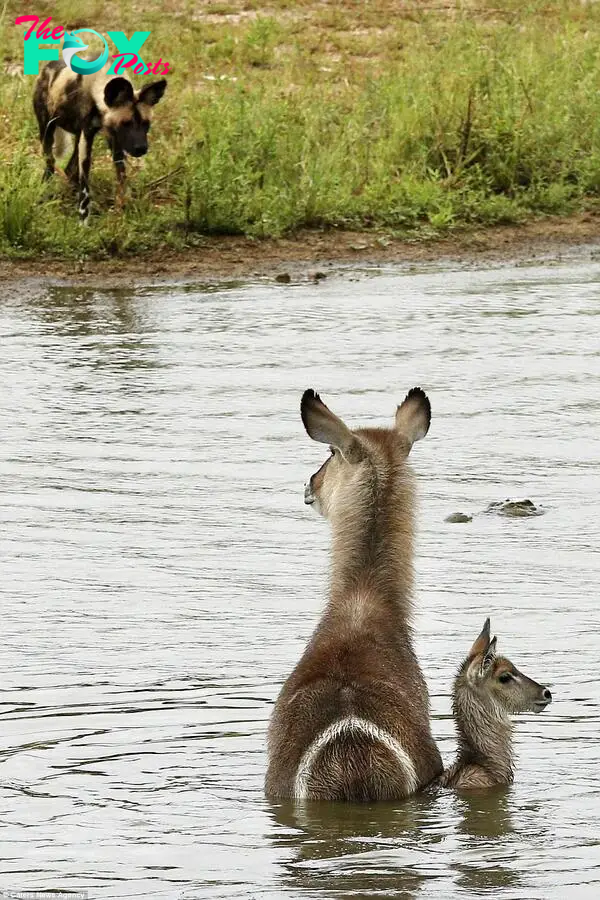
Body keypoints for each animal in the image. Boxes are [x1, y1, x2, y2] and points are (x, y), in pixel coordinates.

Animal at [34, 61, 168, 221]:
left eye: (146, 124)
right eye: (126, 123)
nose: (141, 148)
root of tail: (49, 65)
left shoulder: (115, 140)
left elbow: (121, 176)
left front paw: (122, 208)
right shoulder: (87, 139)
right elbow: (85, 188)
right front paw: (83, 220)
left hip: (77, 139)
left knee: (70, 170)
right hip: (47, 132)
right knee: (50, 164)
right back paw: (44, 194)